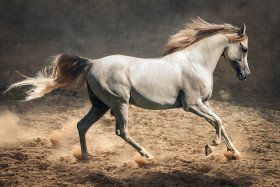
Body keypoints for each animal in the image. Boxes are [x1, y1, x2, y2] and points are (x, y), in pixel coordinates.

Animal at [5, 17, 249, 161]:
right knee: (122, 131)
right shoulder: (191, 105)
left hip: (100, 106)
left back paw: (87, 156)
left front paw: (234, 152)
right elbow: (217, 122)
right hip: (119, 103)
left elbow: (220, 122)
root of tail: (93, 63)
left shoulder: (204, 103)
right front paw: (210, 148)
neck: (195, 62)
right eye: (244, 48)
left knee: (82, 125)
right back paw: (147, 156)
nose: (245, 75)